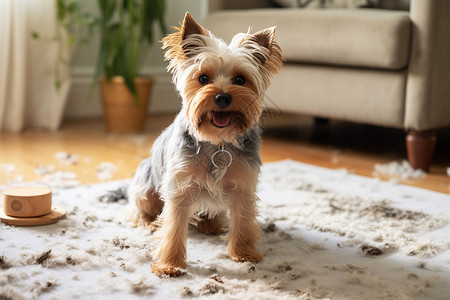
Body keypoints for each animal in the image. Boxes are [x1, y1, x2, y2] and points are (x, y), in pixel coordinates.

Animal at [127, 13, 282, 276]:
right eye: (203, 78)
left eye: (240, 79)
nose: (222, 97)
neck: (218, 142)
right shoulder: (179, 186)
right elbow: (174, 227)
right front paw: (170, 264)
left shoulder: (243, 184)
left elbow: (243, 219)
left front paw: (243, 254)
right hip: (147, 184)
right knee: (141, 206)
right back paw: (149, 223)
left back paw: (211, 225)